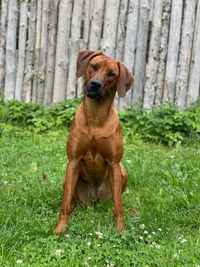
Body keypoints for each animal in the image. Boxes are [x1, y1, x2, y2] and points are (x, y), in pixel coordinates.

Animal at [54, 50, 134, 234]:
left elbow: (118, 207)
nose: (95, 84)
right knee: (71, 201)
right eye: (93, 66)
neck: (96, 118)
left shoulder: (114, 163)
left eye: (112, 74)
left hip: (122, 170)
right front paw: (60, 229)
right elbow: (65, 205)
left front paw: (121, 230)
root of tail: (95, 201)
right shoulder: (73, 161)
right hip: (68, 180)